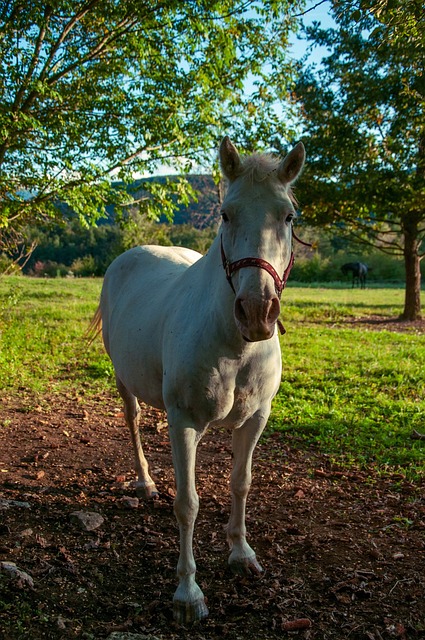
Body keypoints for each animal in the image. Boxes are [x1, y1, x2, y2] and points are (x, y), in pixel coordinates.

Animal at [97, 138, 304, 624]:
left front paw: (241, 554)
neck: (233, 344)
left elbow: (240, 482)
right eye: (226, 214)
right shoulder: (186, 421)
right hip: (123, 380)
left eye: (288, 216)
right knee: (134, 422)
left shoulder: (256, 419)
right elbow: (187, 503)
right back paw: (145, 482)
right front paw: (188, 593)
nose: (256, 312)